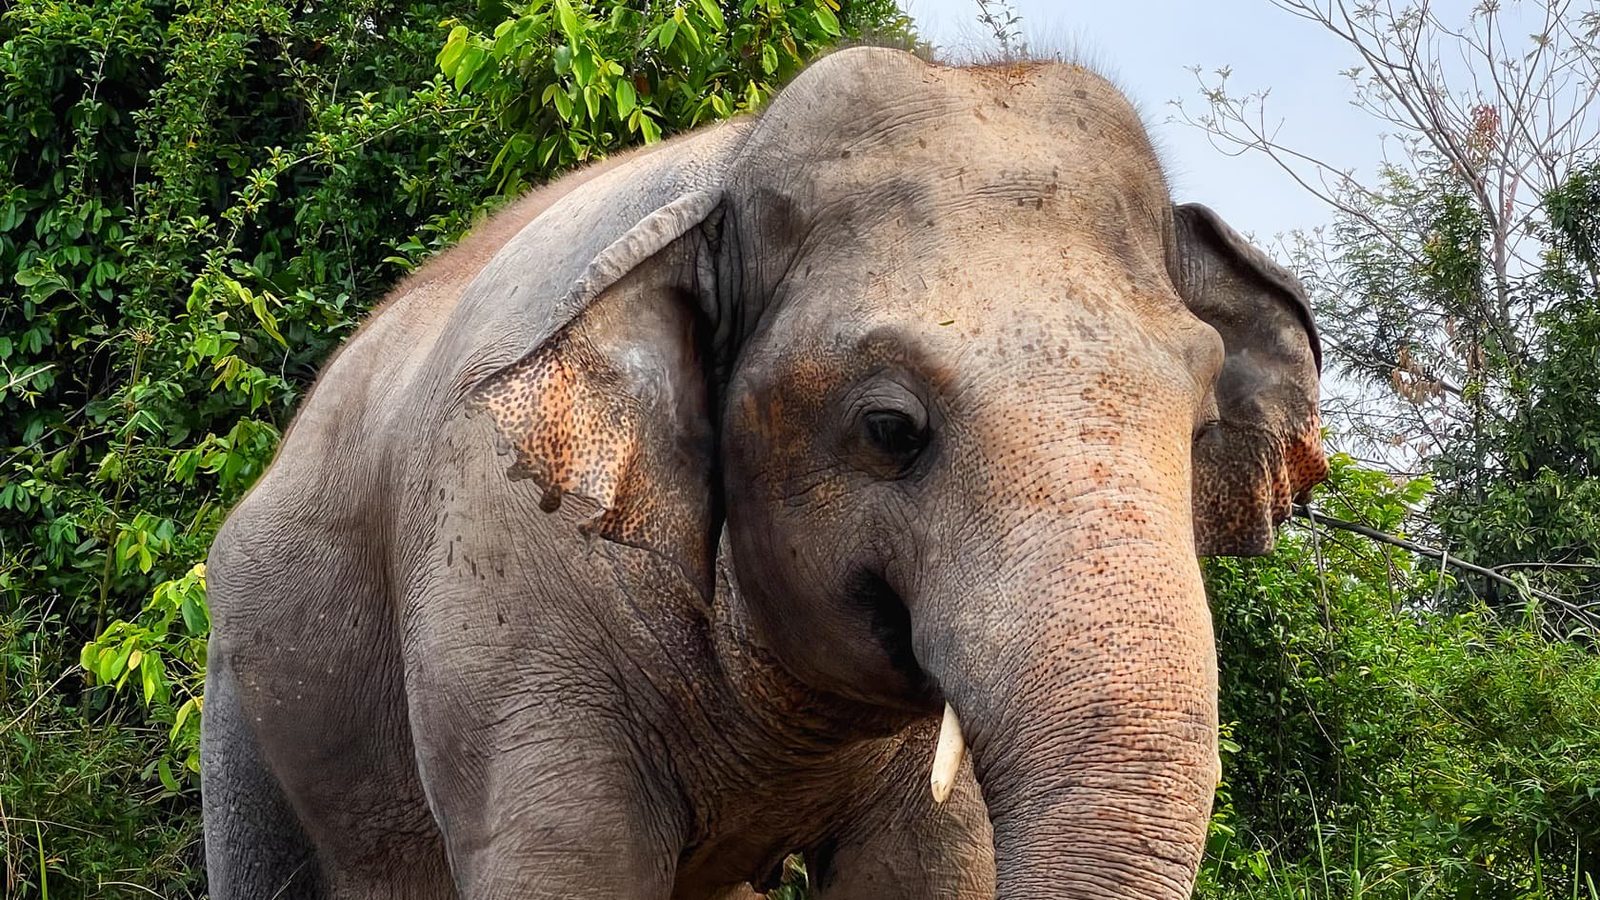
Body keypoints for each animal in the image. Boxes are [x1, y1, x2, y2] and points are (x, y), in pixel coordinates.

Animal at [200, 47, 1327, 900]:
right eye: (889, 429)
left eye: (1197, 429)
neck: (727, 168)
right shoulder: (510, 589)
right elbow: (565, 869)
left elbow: (926, 871)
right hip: (241, 694)